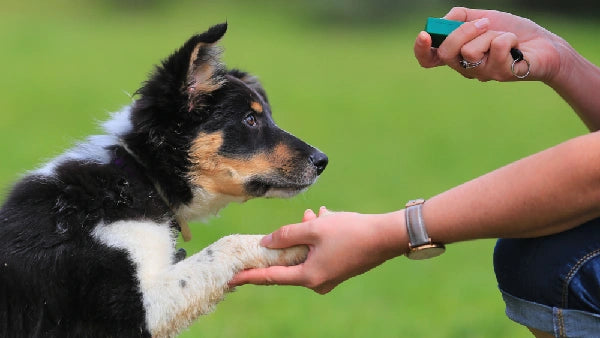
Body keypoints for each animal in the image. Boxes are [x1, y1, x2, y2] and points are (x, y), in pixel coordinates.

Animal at [0, 23, 328, 338]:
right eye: (250, 119)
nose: (322, 161)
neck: (138, 177)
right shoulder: (130, 310)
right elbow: (226, 245)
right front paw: (293, 243)